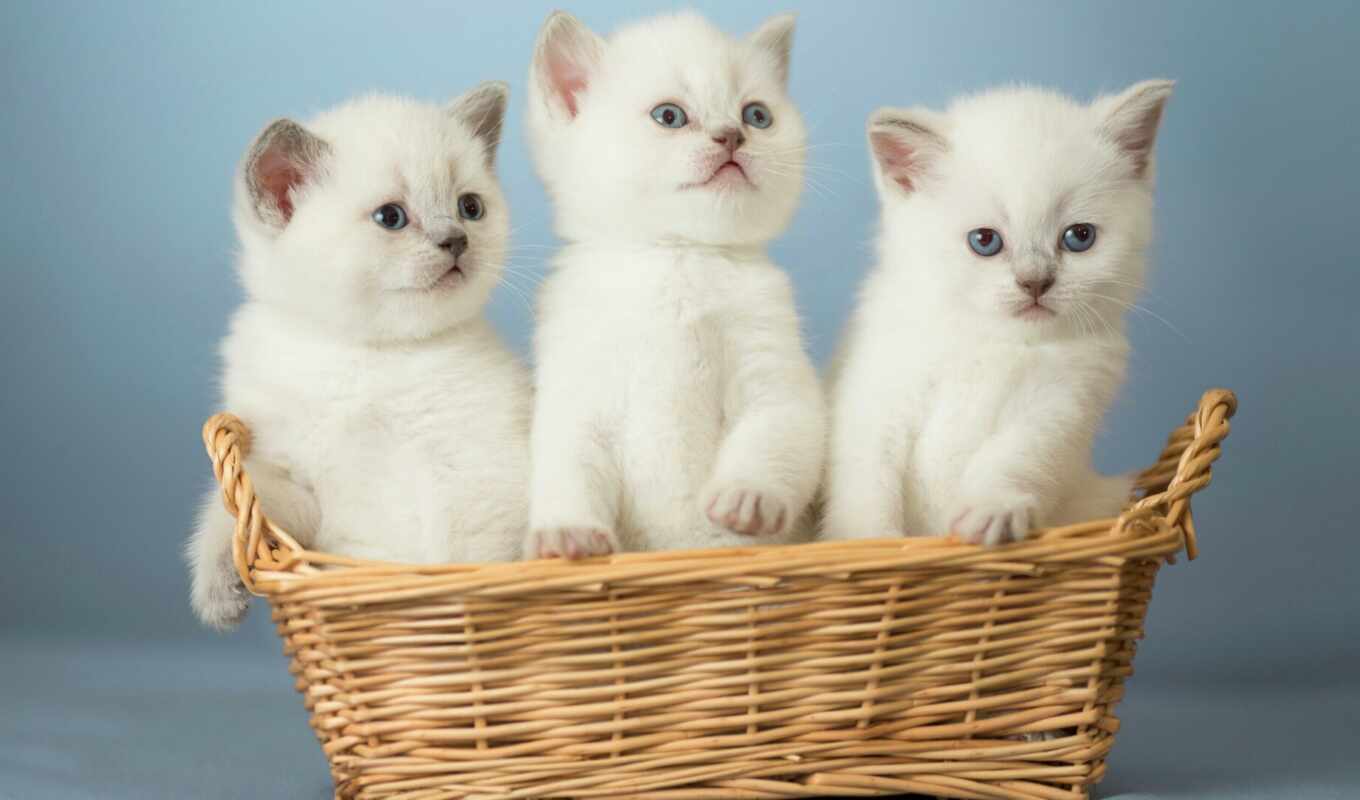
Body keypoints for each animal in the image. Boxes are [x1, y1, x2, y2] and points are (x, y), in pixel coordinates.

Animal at [189, 82, 527, 631]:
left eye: (470, 206)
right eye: (391, 218)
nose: (456, 239)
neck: (367, 356)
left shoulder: (482, 473)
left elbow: (462, 563)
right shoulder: (292, 479)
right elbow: (239, 516)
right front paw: (221, 592)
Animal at [519, 14, 816, 563]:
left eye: (757, 115)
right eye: (669, 116)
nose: (731, 136)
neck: (679, 255)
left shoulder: (776, 370)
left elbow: (777, 431)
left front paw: (749, 497)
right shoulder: (576, 392)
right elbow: (568, 465)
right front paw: (568, 534)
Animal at [821, 79, 1175, 544]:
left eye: (1079, 237)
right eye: (985, 241)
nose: (1035, 282)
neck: (995, 340)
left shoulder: (1062, 406)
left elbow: (1019, 456)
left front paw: (993, 510)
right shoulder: (878, 391)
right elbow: (867, 475)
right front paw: (870, 541)